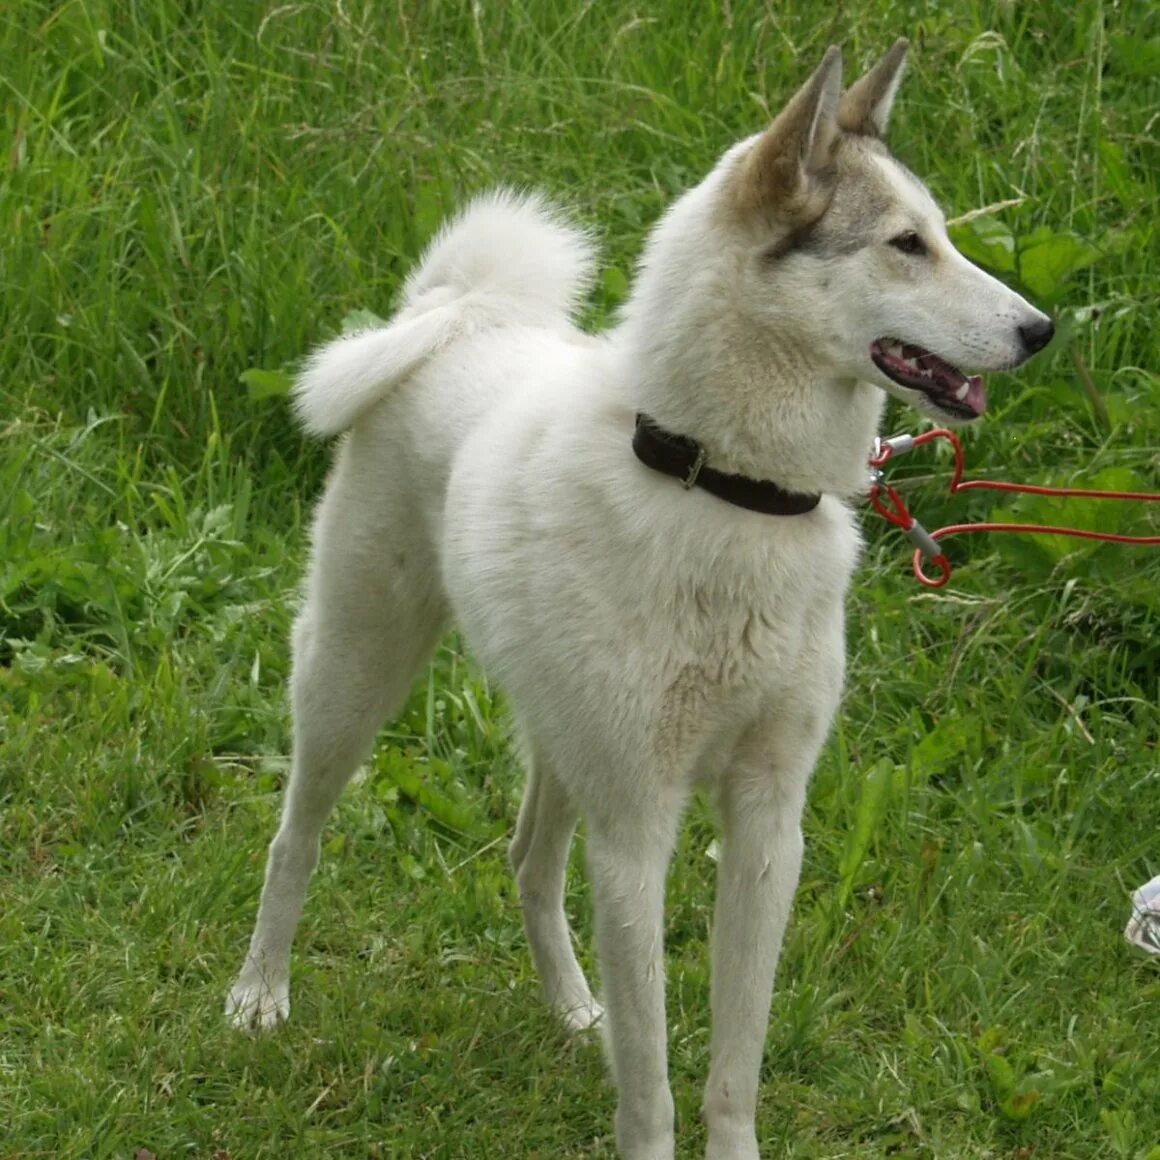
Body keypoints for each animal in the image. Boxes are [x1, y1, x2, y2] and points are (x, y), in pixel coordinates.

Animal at [226, 40, 1053, 1160]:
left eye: (943, 234)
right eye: (904, 245)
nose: (1040, 329)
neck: (725, 483)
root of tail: (455, 316)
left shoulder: (767, 825)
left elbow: (733, 1065)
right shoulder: (637, 832)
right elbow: (655, 1075)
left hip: (559, 734)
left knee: (527, 861)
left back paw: (577, 1011)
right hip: (355, 674)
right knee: (296, 836)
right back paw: (260, 995)